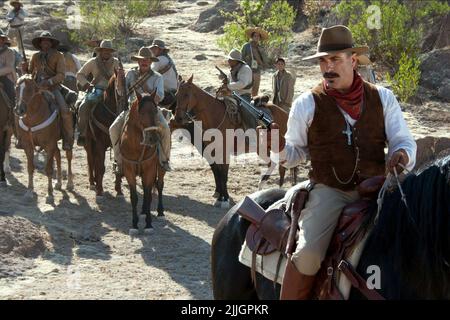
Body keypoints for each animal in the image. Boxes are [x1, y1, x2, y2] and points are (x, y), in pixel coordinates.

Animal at [120, 90, 166, 235]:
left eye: (155, 111)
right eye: (142, 113)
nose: (153, 138)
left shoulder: (150, 170)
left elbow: (148, 195)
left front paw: (148, 224)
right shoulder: (129, 170)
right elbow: (134, 197)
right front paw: (134, 224)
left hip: (161, 167)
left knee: (160, 185)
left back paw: (160, 212)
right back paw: (143, 211)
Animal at [175, 76, 296, 209]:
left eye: (186, 94)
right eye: (176, 94)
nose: (178, 118)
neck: (215, 115)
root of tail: (285, 114)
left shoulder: (224, 153)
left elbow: (223, 174)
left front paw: (225, 199)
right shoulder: (213, 152)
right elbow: (217, 172)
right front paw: (220, 197)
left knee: (275, 164)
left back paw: (264, 184)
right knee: (277, 165)